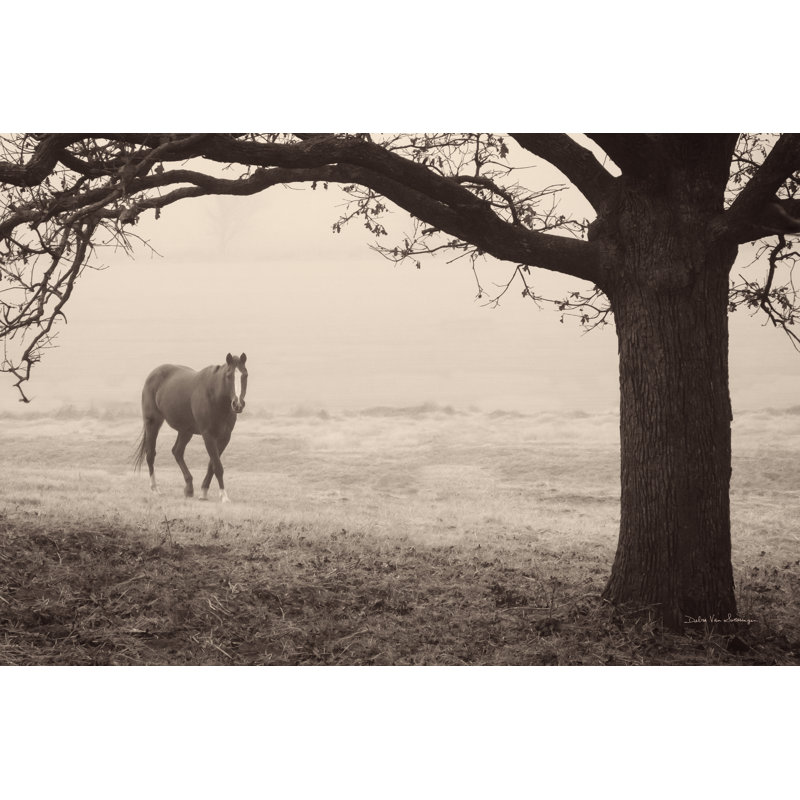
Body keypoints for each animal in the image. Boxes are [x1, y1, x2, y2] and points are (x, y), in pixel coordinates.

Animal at [133, 353, 248, 503]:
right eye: (229, 376)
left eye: (245, 375)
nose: (237, 404)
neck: (214, 397)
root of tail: (153, 374)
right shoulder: (208, 435)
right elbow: (217, 466)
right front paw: (224, 496)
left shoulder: (224, 437)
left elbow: (212, 465)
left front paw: (204, 492)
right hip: (152, 423)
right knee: (151, 454)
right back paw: (155, 489)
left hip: (185, 431)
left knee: (177, 452)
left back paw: (189, 488)